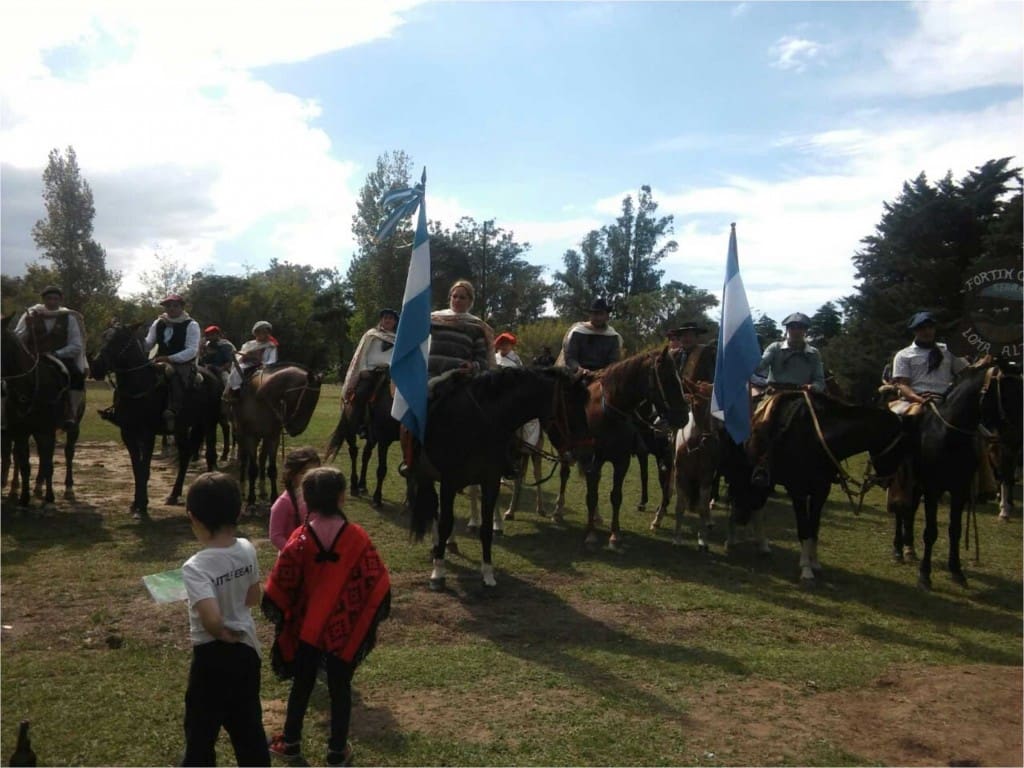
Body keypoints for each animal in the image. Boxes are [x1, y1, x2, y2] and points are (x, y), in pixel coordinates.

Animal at [0, 319, 65, 507]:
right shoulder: (20, 432)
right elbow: (24, 465)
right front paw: (24, 497)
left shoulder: (47, 432)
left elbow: (48, 463)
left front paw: (49, 496)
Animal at [90, 321, 224, 520]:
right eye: (104, 336)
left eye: (120, 339)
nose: (97, 367)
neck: (139, 386)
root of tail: (212, 374)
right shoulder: (127, 433)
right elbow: (137, 469)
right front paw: (136, 504)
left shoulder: (148, 435)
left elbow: (144, 468)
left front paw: (142, 507)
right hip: (182, 428)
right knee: (185, 455)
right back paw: (174, 495)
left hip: (209, 424)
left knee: (210, 454)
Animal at [233, 364, 321, 512]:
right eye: (307, 399)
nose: (297, 429)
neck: (260, 396)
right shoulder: (251, 437)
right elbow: (252, 470)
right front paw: (251, 500)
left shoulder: (273, 437)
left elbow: (272, 469)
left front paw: (274, 497)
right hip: (241, 435)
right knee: (244, 461)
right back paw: (243, 489)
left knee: (262, 459)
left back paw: (262, 490)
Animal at [325, 368, 397, 512]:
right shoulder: (384, 441)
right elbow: (381, 470)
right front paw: (377, 499)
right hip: (350, 431)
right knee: (354, 452)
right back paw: (354, 486)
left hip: (371, 437)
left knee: (366, 455)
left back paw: (362, 485)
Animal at [888, 360, 1024, 589]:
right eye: (1006, 391)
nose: (1016, 439)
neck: (948, 435)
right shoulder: (932, 489)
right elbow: (931, 532)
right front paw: (924, 575)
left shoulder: (960, 490)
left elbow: (955, 530)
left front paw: (957, 571)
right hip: (905, 482)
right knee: (901, 510)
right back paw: (898, 550)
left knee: (909, 511)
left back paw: (909, 549)